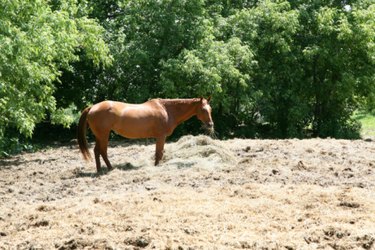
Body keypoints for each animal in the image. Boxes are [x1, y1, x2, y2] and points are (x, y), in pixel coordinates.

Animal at [77, 97, 213, 172]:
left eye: (210, 109)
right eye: (203, 109)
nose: (211, 124)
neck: (166, 110)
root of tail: (92, 107)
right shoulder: (161, 137)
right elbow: (159, 153)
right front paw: (157, 166)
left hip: (99, 136)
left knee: (96, 151)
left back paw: (99, 170)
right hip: (104, 135)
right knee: (103, 151)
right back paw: (110, 168)